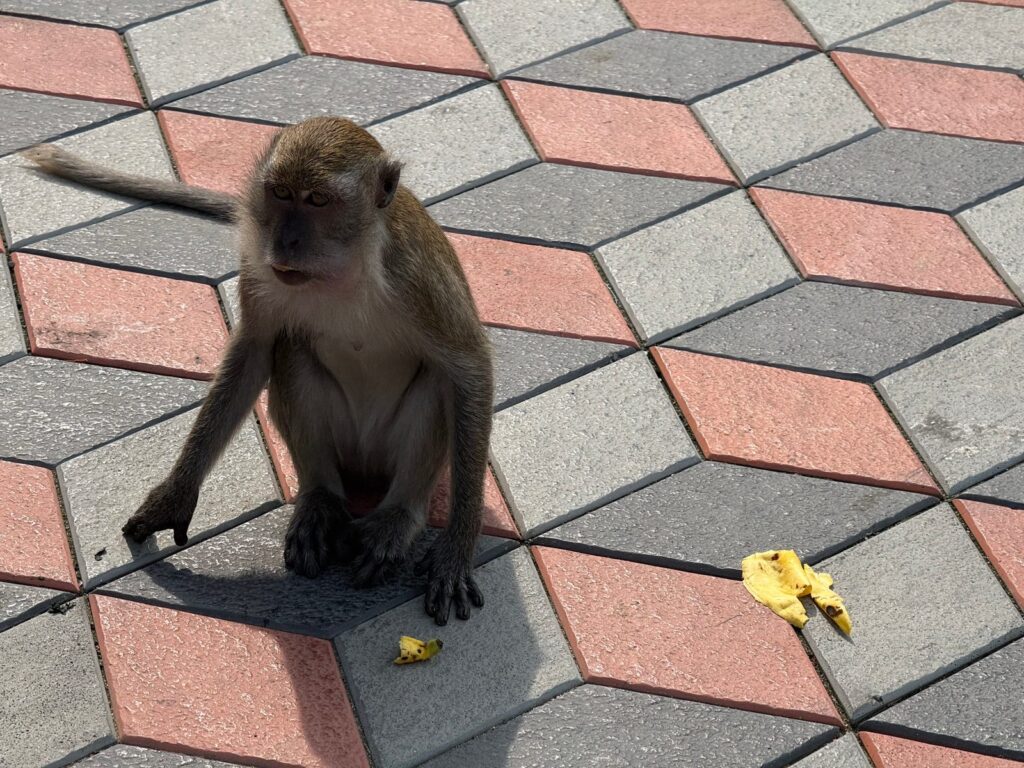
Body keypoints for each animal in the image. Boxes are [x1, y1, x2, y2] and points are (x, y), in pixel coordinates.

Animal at [22, 117, 493, 625]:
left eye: (318, 201)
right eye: (281, 193)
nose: (286, 241)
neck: (342, 271)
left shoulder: (416, 278)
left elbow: (469, 370)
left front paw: (456, 551)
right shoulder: (256, 264)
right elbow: (253, 352)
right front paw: (175, 494)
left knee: (435, 382)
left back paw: (397, 518)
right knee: (291, 352)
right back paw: (320, 500)